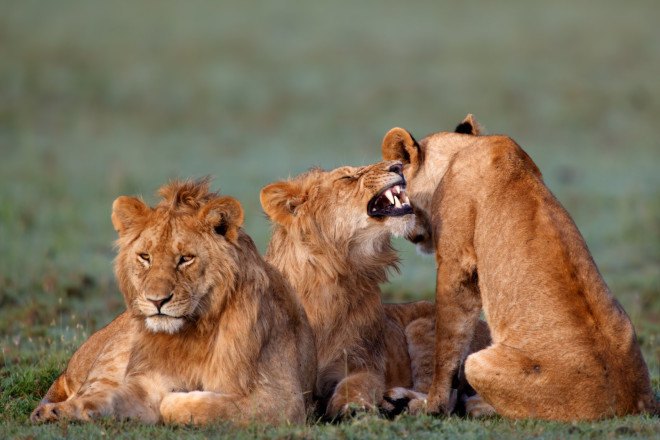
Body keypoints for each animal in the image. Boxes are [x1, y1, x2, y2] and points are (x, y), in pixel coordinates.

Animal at [31, 179, 316, 425]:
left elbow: (185, 405)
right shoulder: (147, 381)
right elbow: (117, 397)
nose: (157, 300)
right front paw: (63, 411)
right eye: (145, 257)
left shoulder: (284, 400)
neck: (193, 333)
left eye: (185, 259)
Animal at [260, 161, 491, 419]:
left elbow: (356, 385)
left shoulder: (364, 362)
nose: (398, 165)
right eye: (347, 178)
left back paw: (401, 401)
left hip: (422, 327)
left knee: (443, 396)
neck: (334, 276)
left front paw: (353, 408)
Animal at [381, 115, 656, 420]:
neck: (458, 152)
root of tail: (634, 404)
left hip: (479, 362)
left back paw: (466, 404)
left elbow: (448, 346)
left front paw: (432, 405)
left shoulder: (456, 264)